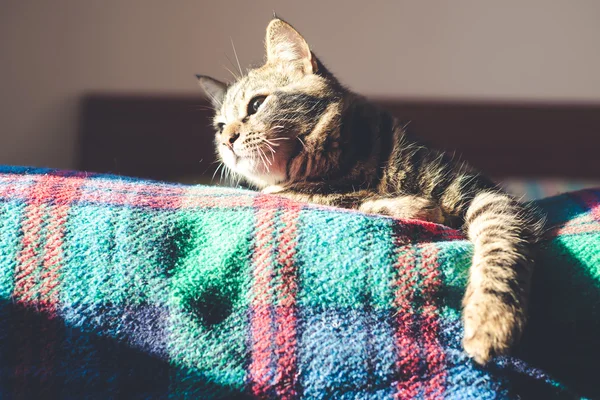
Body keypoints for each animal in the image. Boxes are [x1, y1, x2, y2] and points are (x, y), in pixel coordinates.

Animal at [196, 17, 544, 364]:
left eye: (256, 104)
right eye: (219, 126)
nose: (226, 140)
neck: (342, 168)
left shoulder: (482, 193)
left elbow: (500, 250)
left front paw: (491, 320)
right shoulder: (287, 193)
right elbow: (346, 200)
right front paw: (414, 207)